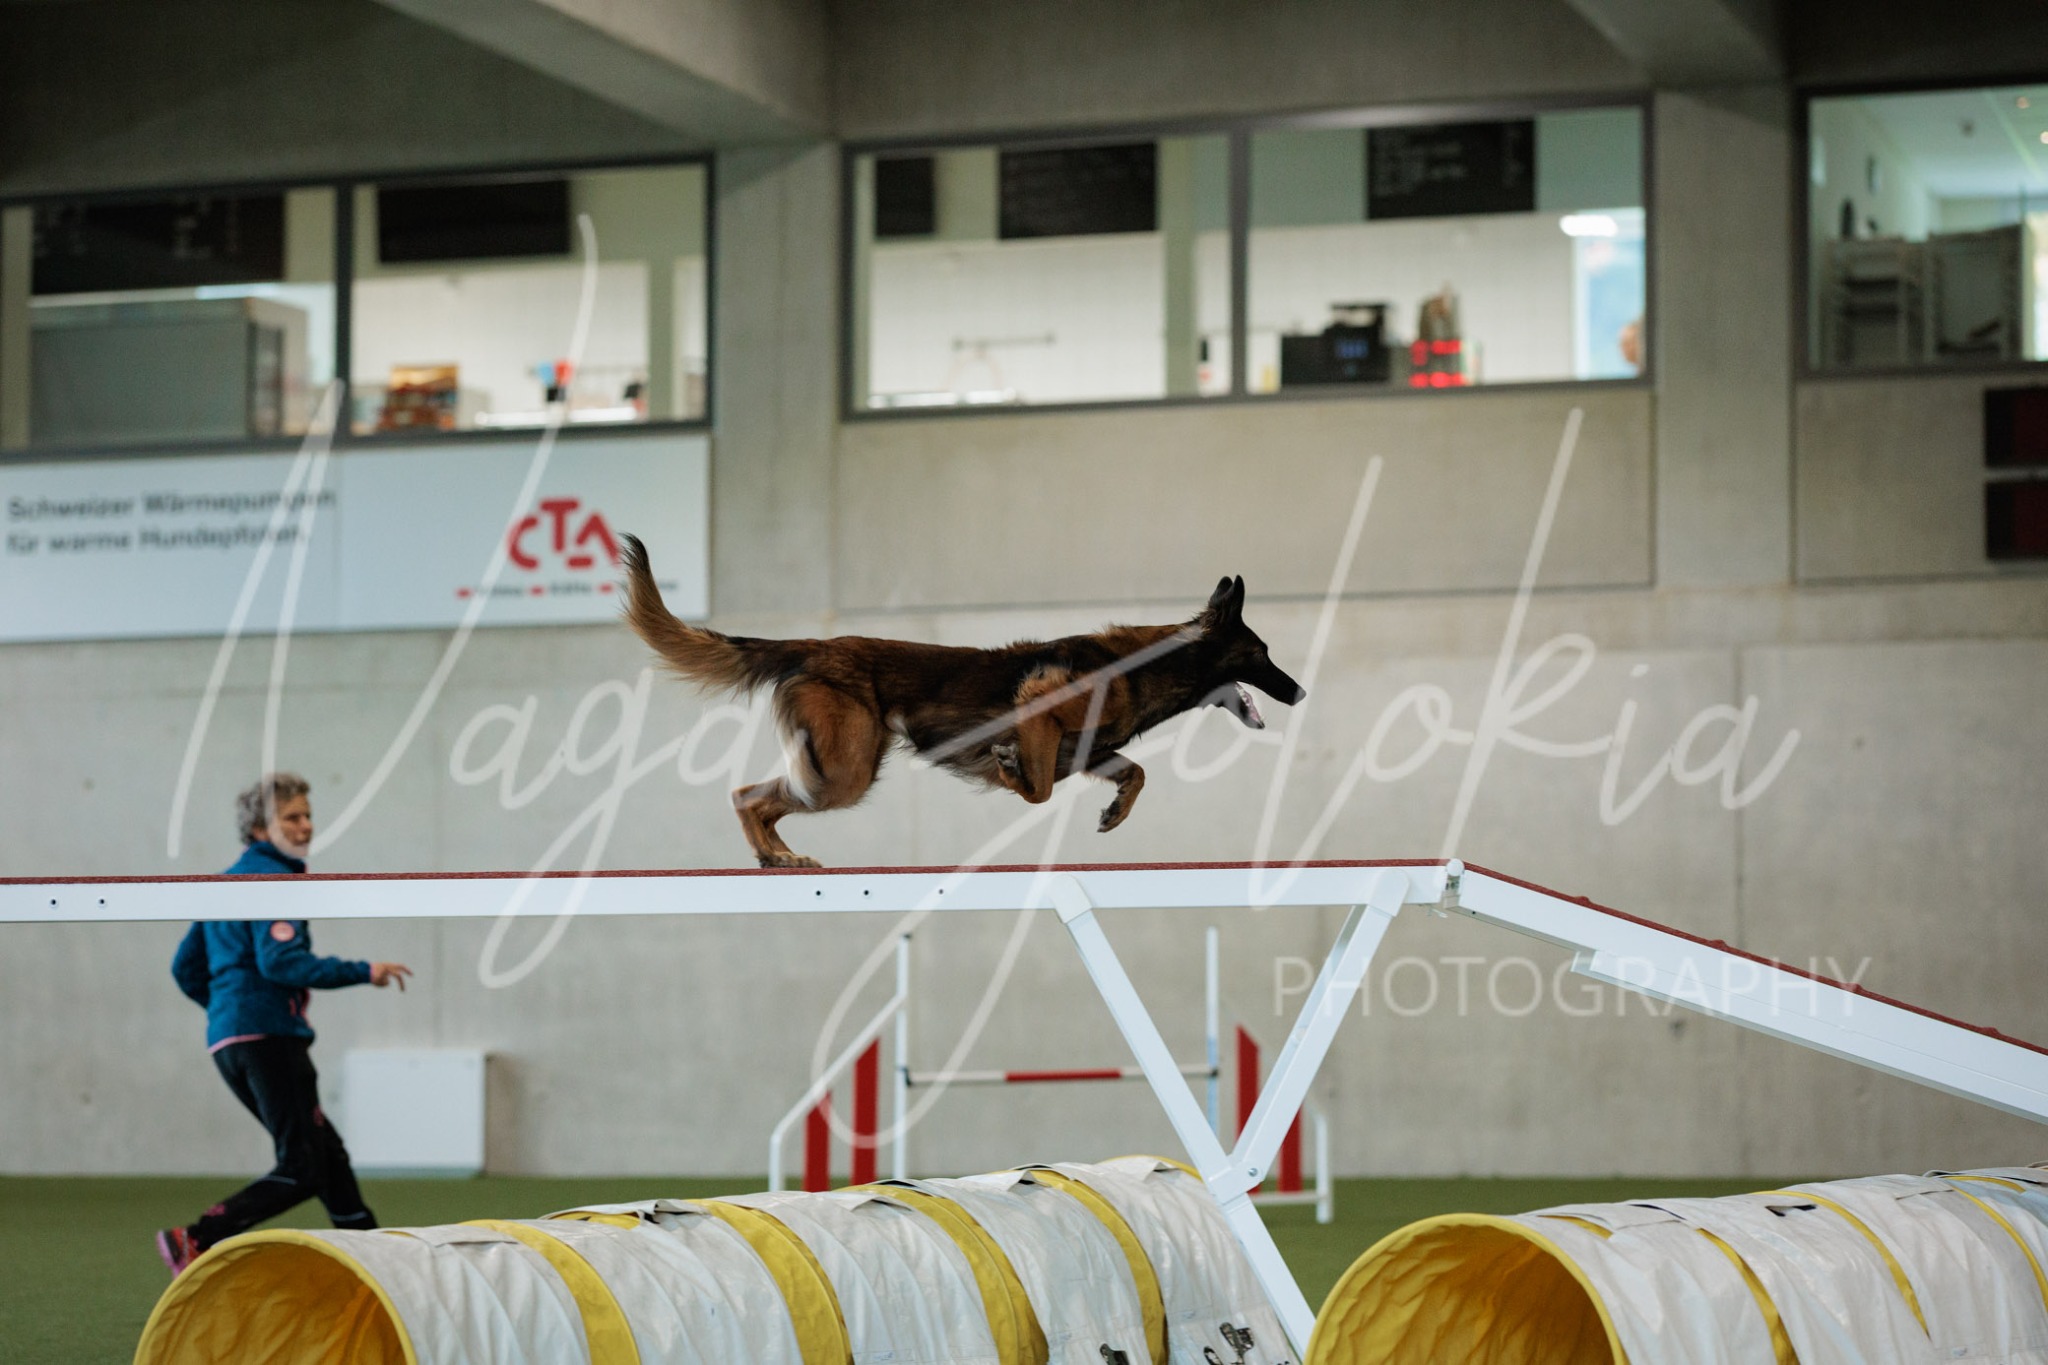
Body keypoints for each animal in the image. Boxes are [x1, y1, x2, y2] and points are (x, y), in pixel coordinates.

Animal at [619, 535, 1306, 867]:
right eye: (1262, 653)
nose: (1300, 691)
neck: (1155, 663)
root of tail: (814, 645)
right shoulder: (1041, 708)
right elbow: (1038, 789)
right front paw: (1010, 769)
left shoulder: (1087, 751)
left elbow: (1133, 773)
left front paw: (1115, 811)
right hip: (844, 771)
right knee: (747, 796)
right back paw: (773, 854)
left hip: (836, 771)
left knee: (755, 798)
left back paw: (778, 857)